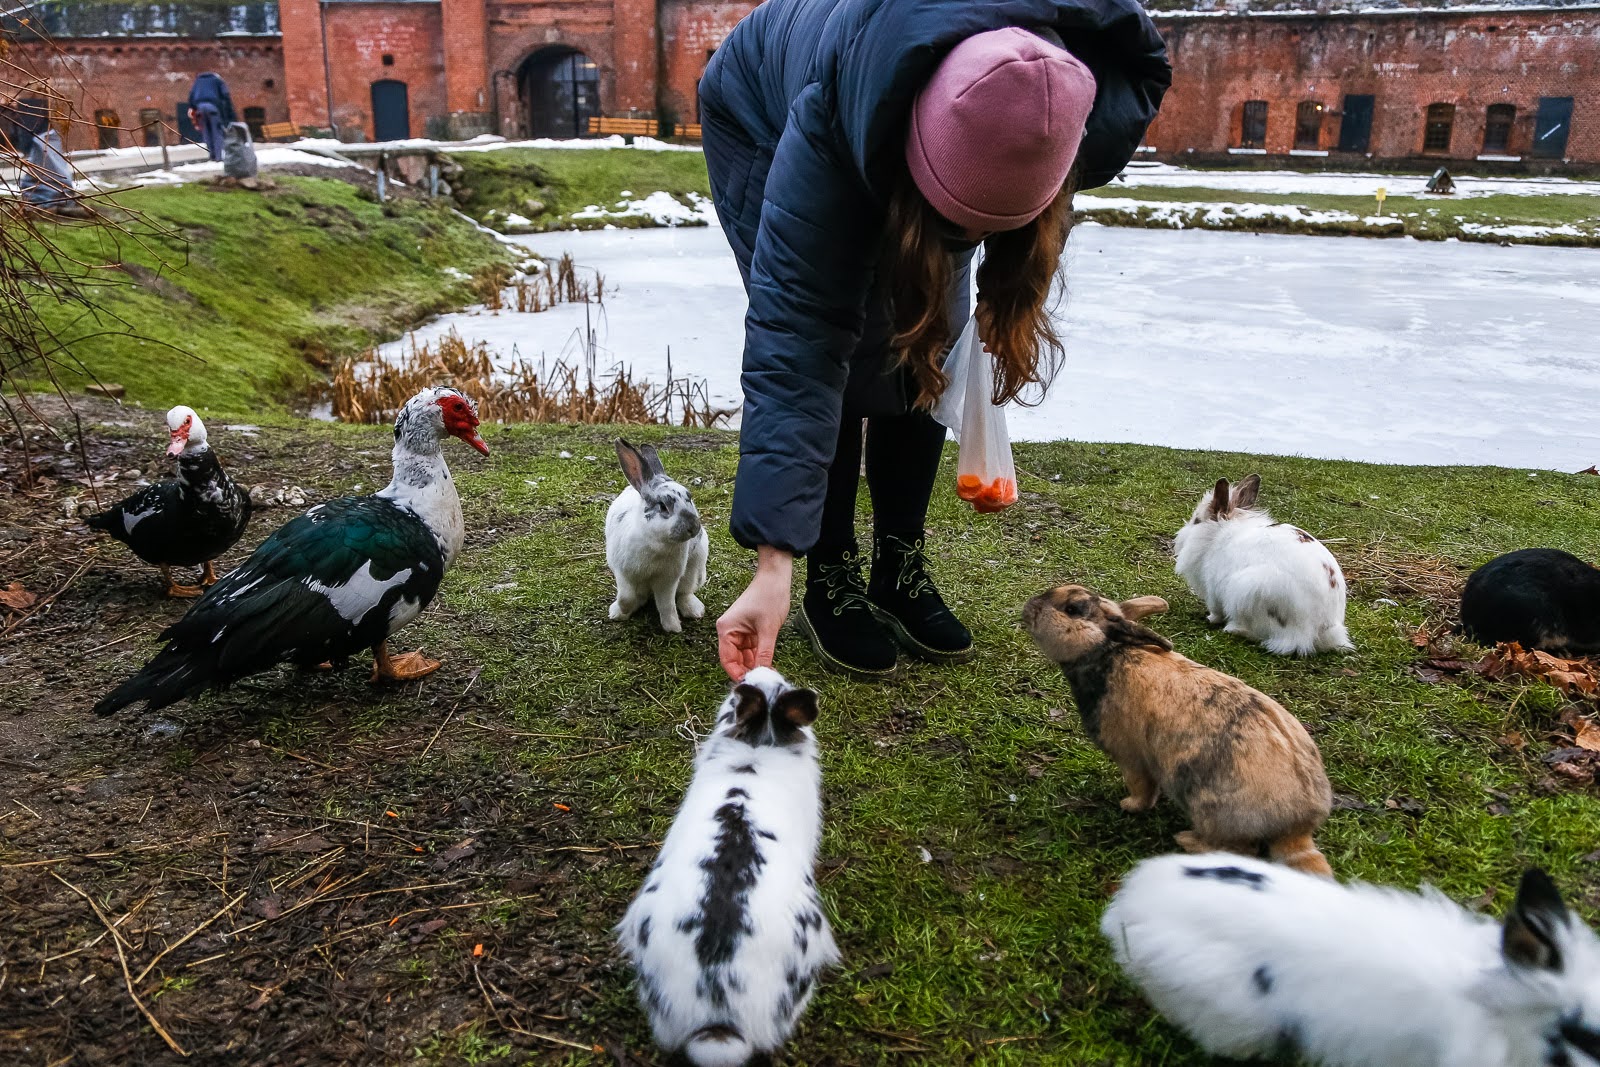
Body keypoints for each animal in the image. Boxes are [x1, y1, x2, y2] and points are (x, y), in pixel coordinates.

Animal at [601, 441, 710, 633]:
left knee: (685, 592)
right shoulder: (623, 573)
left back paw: (694, 610)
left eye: (689, 498)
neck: (656, 543)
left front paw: (672, 627)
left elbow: (666, 604)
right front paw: (621, 611)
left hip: (695, 568)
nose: (693, 527)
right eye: (662, 506)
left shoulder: (668, 580)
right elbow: (626, 597)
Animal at [1024, 585, 1337, 876]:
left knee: (1239, 850)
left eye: (1072, 609)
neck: (1110, 654)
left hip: (1207, 810)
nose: (1029, 607)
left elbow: (1142, 789)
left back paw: (1186, 839)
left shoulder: (1131, 759)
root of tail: (1297, 828)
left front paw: (1129, 805)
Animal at [1171, 476, 1356, 659]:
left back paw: (1235, 629)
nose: (1179, 538)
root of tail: (1321, 628)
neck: (1217, 535)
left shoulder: (1213, 590)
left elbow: (1216, 610)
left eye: (1196, 521)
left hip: (1250, 592)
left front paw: (1211, 619)